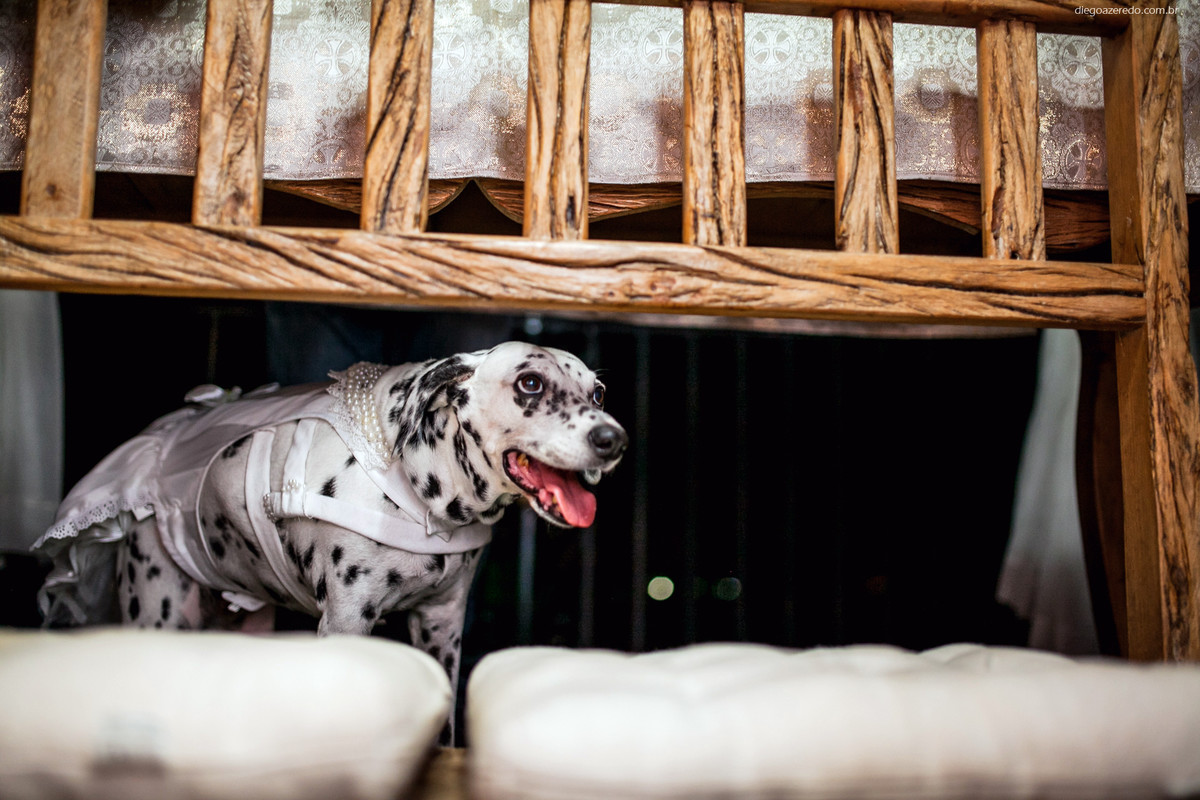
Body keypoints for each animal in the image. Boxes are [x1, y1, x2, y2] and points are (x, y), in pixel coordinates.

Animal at [35, 341, 626, 739]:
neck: (421, 489)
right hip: (159, 611)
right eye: (530, 384)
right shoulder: (346, 621)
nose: (613, 439)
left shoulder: (442, 626)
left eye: (597, 391)